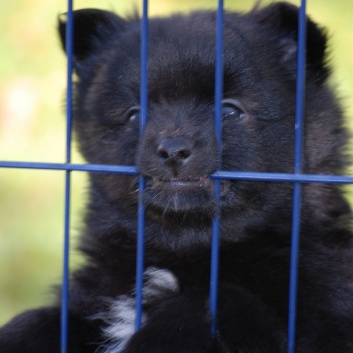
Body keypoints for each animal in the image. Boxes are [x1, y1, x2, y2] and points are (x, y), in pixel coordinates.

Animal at [0, 2, 352, 352]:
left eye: (230, 111)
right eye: (135, 114)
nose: (172, 150)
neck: (179, 253)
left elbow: (209, 302)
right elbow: (38, 321)